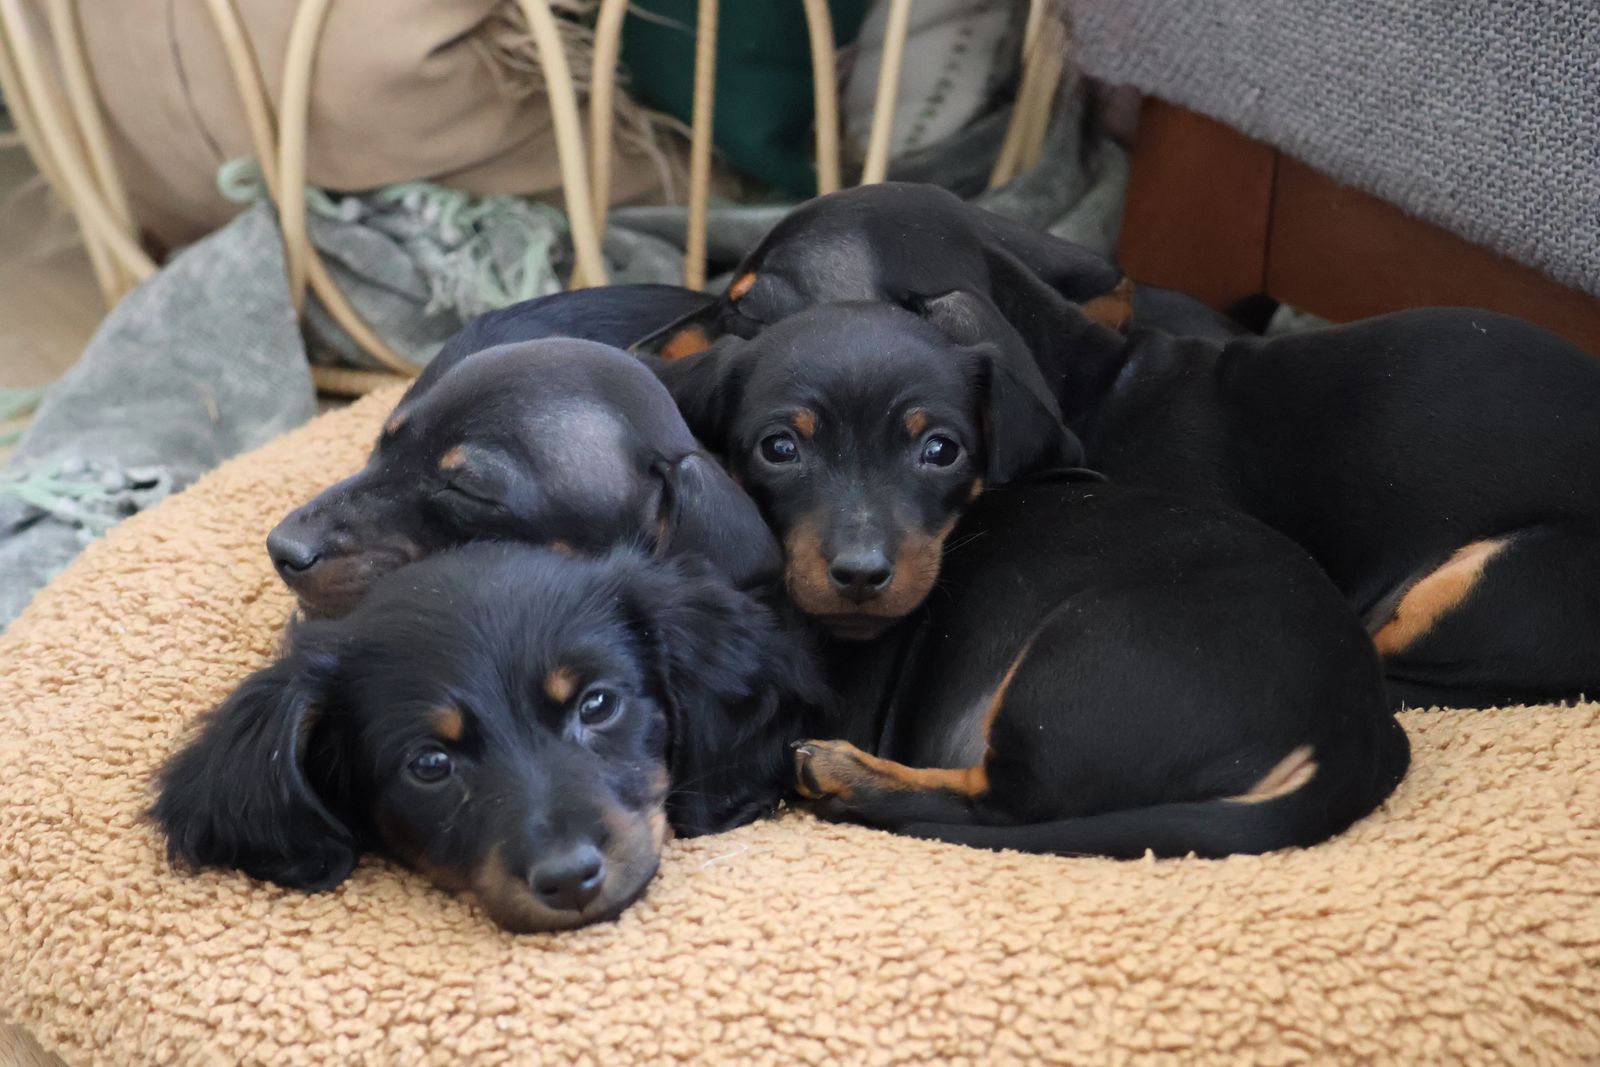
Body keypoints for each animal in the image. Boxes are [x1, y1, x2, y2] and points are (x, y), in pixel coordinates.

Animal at [656, 292, 1405, 855]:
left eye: (941, 450)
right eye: (779, 448)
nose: (862, 574)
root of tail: (1352, 729)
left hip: (1084, 658)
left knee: (1004, 803)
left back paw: (845, 775)